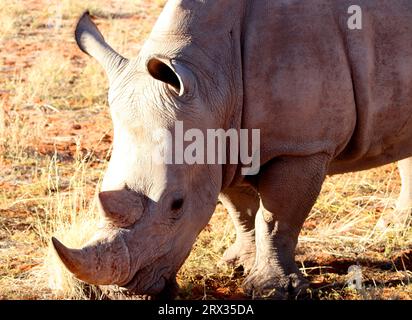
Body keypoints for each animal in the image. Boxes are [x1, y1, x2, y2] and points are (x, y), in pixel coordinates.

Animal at [53, 0, 412, 300]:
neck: (213, 79)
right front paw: (238, 264)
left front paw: (272, 289)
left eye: (177, 204)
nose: (123, 292)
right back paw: (395, 225)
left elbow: (277, 218)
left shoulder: (301, 148)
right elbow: (240, 211)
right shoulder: (221, 141)